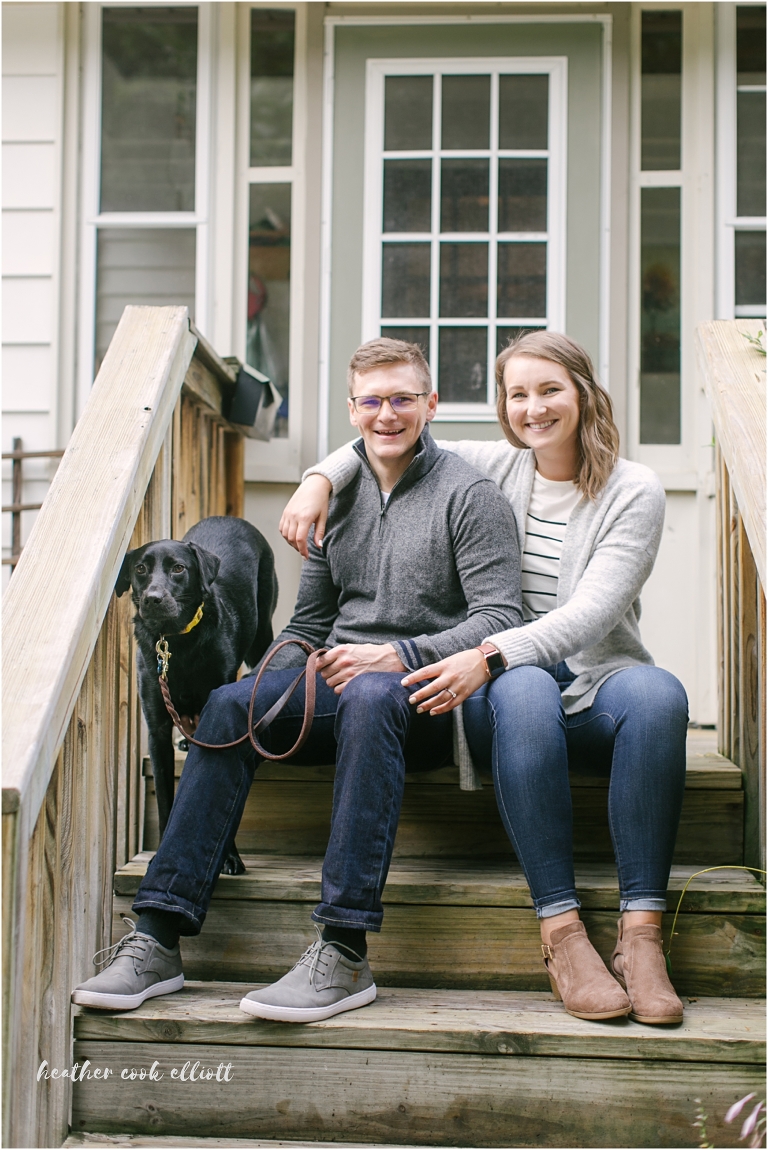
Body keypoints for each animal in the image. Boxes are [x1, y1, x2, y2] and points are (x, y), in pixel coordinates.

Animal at [115, 517, 277, 874]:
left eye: (178, 568)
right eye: (140, 569)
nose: (153, 599)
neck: (176, 642)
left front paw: (228, 856)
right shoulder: (157, 730)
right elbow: (165, 798)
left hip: (262, 631)